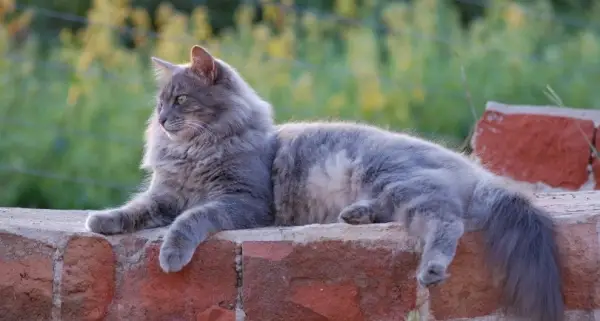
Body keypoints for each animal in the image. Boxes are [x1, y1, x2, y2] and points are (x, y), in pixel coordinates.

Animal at [85, 45, 276, 272]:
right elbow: (135, 207)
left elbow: (191, 217)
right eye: (160, 104)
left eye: (181, 99)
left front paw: (172, 254)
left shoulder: (244, 199)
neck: (194, 151)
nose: (161, 120)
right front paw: (102, 218)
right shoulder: (166, 194)